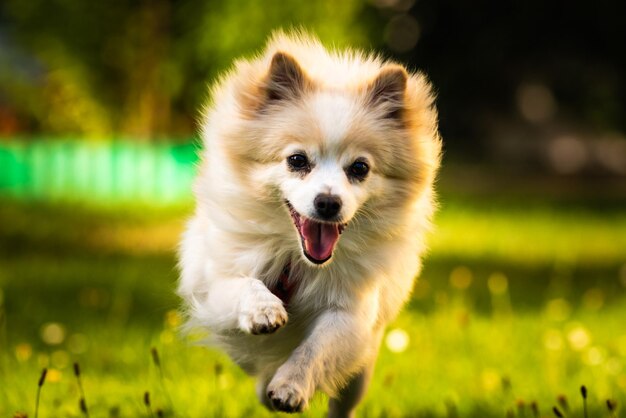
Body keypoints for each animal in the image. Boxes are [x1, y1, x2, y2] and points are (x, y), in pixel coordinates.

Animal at [176, 31, 438, 416]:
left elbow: (316, 349)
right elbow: (245, 285)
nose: (328, 202)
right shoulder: (217, 282)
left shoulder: (350, 314)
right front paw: (264, 309)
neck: (295, 258)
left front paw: (291, 386)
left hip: (359, 373)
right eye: (297, 161)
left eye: (359, 168)